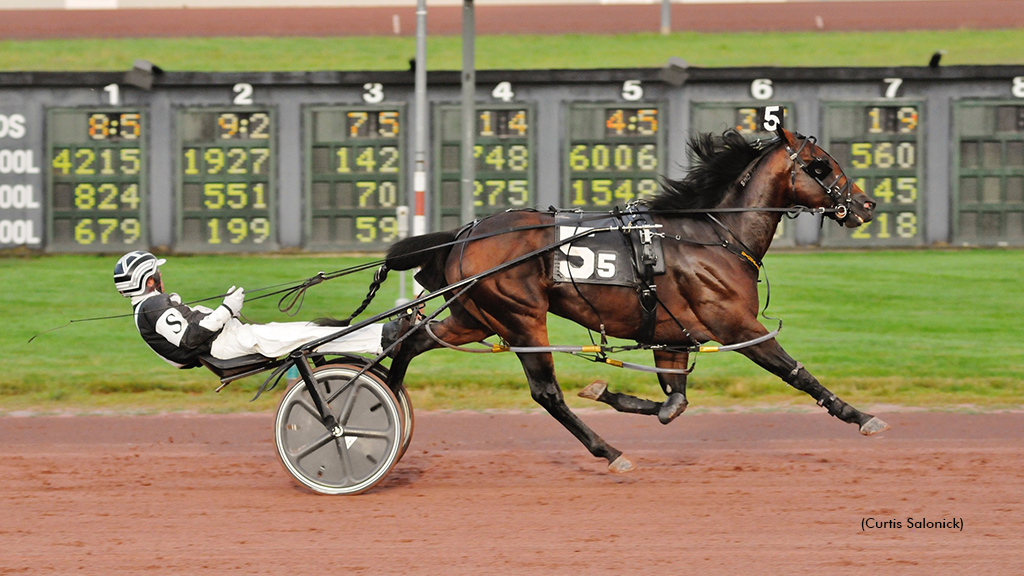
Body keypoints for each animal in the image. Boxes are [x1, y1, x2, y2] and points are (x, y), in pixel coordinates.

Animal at [380, 126, 884, 471]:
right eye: (820, 164)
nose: (866, 205)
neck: (713, 236)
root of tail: (467, 233)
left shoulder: (673, 337)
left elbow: (672, 405)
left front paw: (607, 391)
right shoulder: (735, 324)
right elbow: (795, 372)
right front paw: (860, 416)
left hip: (476, 316)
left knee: (413, 339)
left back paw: (388, 394)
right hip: (521, 316)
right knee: (546, 392)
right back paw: (609, 451)